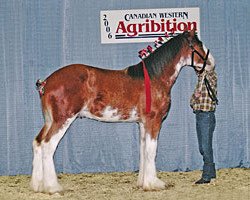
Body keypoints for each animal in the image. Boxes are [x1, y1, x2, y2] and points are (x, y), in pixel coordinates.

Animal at [29, 29, 213, 194]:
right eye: (198, 45)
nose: (212, 63)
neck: (155, 78)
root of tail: (47, 82)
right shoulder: (153, 121)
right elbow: (151, 151)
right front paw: (154, 184)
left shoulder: (142, 123)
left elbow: (143, 150)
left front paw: (143, 182)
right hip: (62, 120)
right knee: (47, 145)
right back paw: (52, 187)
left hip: (49, 120)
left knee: (37, 142)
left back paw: (38, 185)